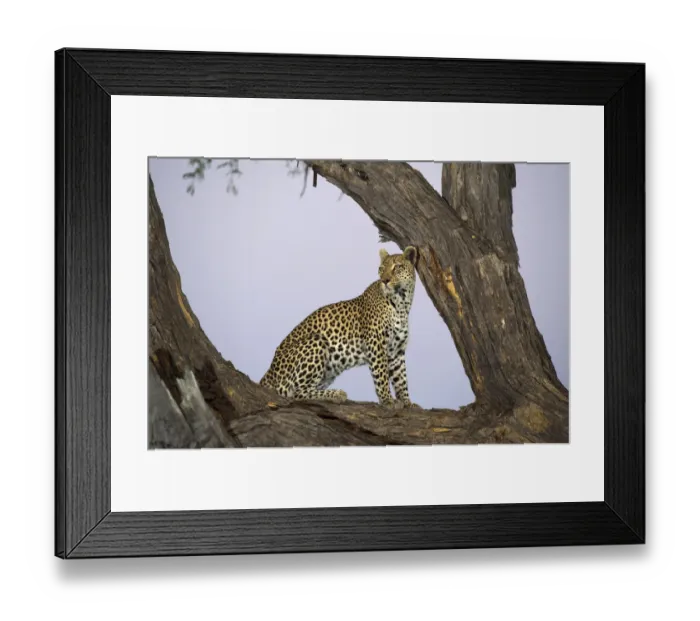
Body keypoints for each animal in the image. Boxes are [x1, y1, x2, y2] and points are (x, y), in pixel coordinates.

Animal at [259, 246, 420, 409]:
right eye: (381, 269)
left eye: (397, 267)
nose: (384, 280)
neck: (402, 303)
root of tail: (267, 375)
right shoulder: (376, 344)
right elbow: (381, 374)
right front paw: (387, 400)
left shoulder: (397, 351)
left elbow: (401, 379)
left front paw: (408, 403)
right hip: (316, 342)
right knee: (297, 393)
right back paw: (337, 394)